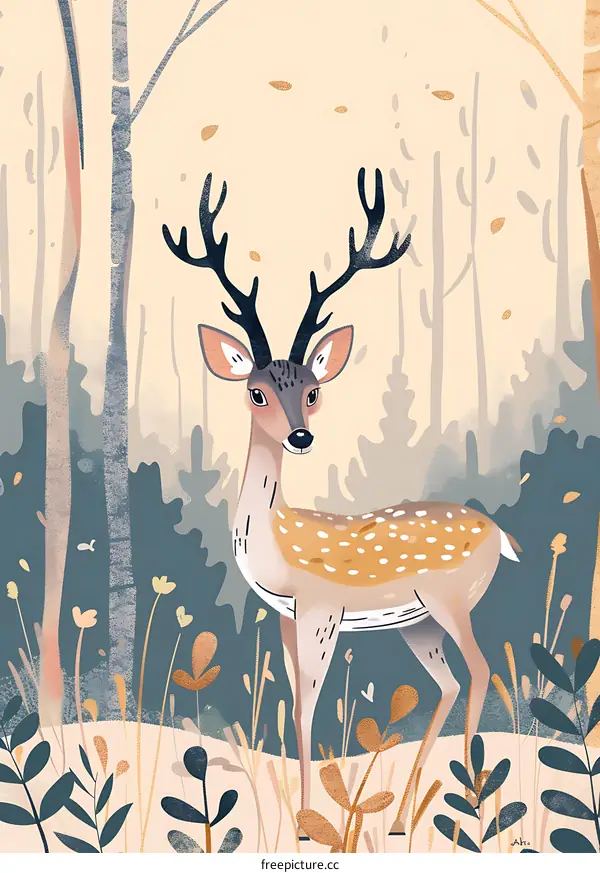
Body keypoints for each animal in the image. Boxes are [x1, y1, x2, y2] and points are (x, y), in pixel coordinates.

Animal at [162, 168, 521, 838]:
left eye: (313, 389)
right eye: (256, 391)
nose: (301, 437)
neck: (275, 546)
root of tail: (501, 536)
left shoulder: (322, 607)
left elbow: (310, 705)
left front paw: (307, 822)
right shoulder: (285, 613)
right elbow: (296, 701)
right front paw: (303, 817)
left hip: (450, 598)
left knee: (482, 670)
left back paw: (467, 812)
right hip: (416, 623)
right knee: (448, 683)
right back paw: (404, 819)